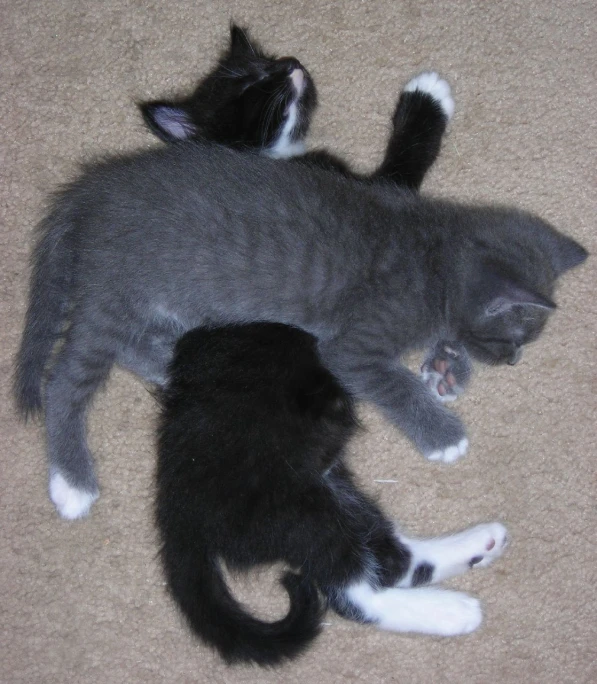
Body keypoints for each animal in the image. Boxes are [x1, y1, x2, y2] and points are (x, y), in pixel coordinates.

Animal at [15, 143, 588, 520]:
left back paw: (172, 362)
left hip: (160, 297)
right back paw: (72, 480)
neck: (436, 253)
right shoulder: (354, 343)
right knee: (66, 378)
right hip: (116, 290)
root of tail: (89, 191)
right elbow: (390, 381)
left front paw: (447, 368)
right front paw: (443, 433)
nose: (513, 361)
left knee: (131, 346)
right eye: (511, 341)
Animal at [157, 324, 508, 664]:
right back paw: (454, 610)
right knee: (353, 592)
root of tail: (177, 515)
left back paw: (479, 545)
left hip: (331, 490)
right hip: (292, 507)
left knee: (391, 558)